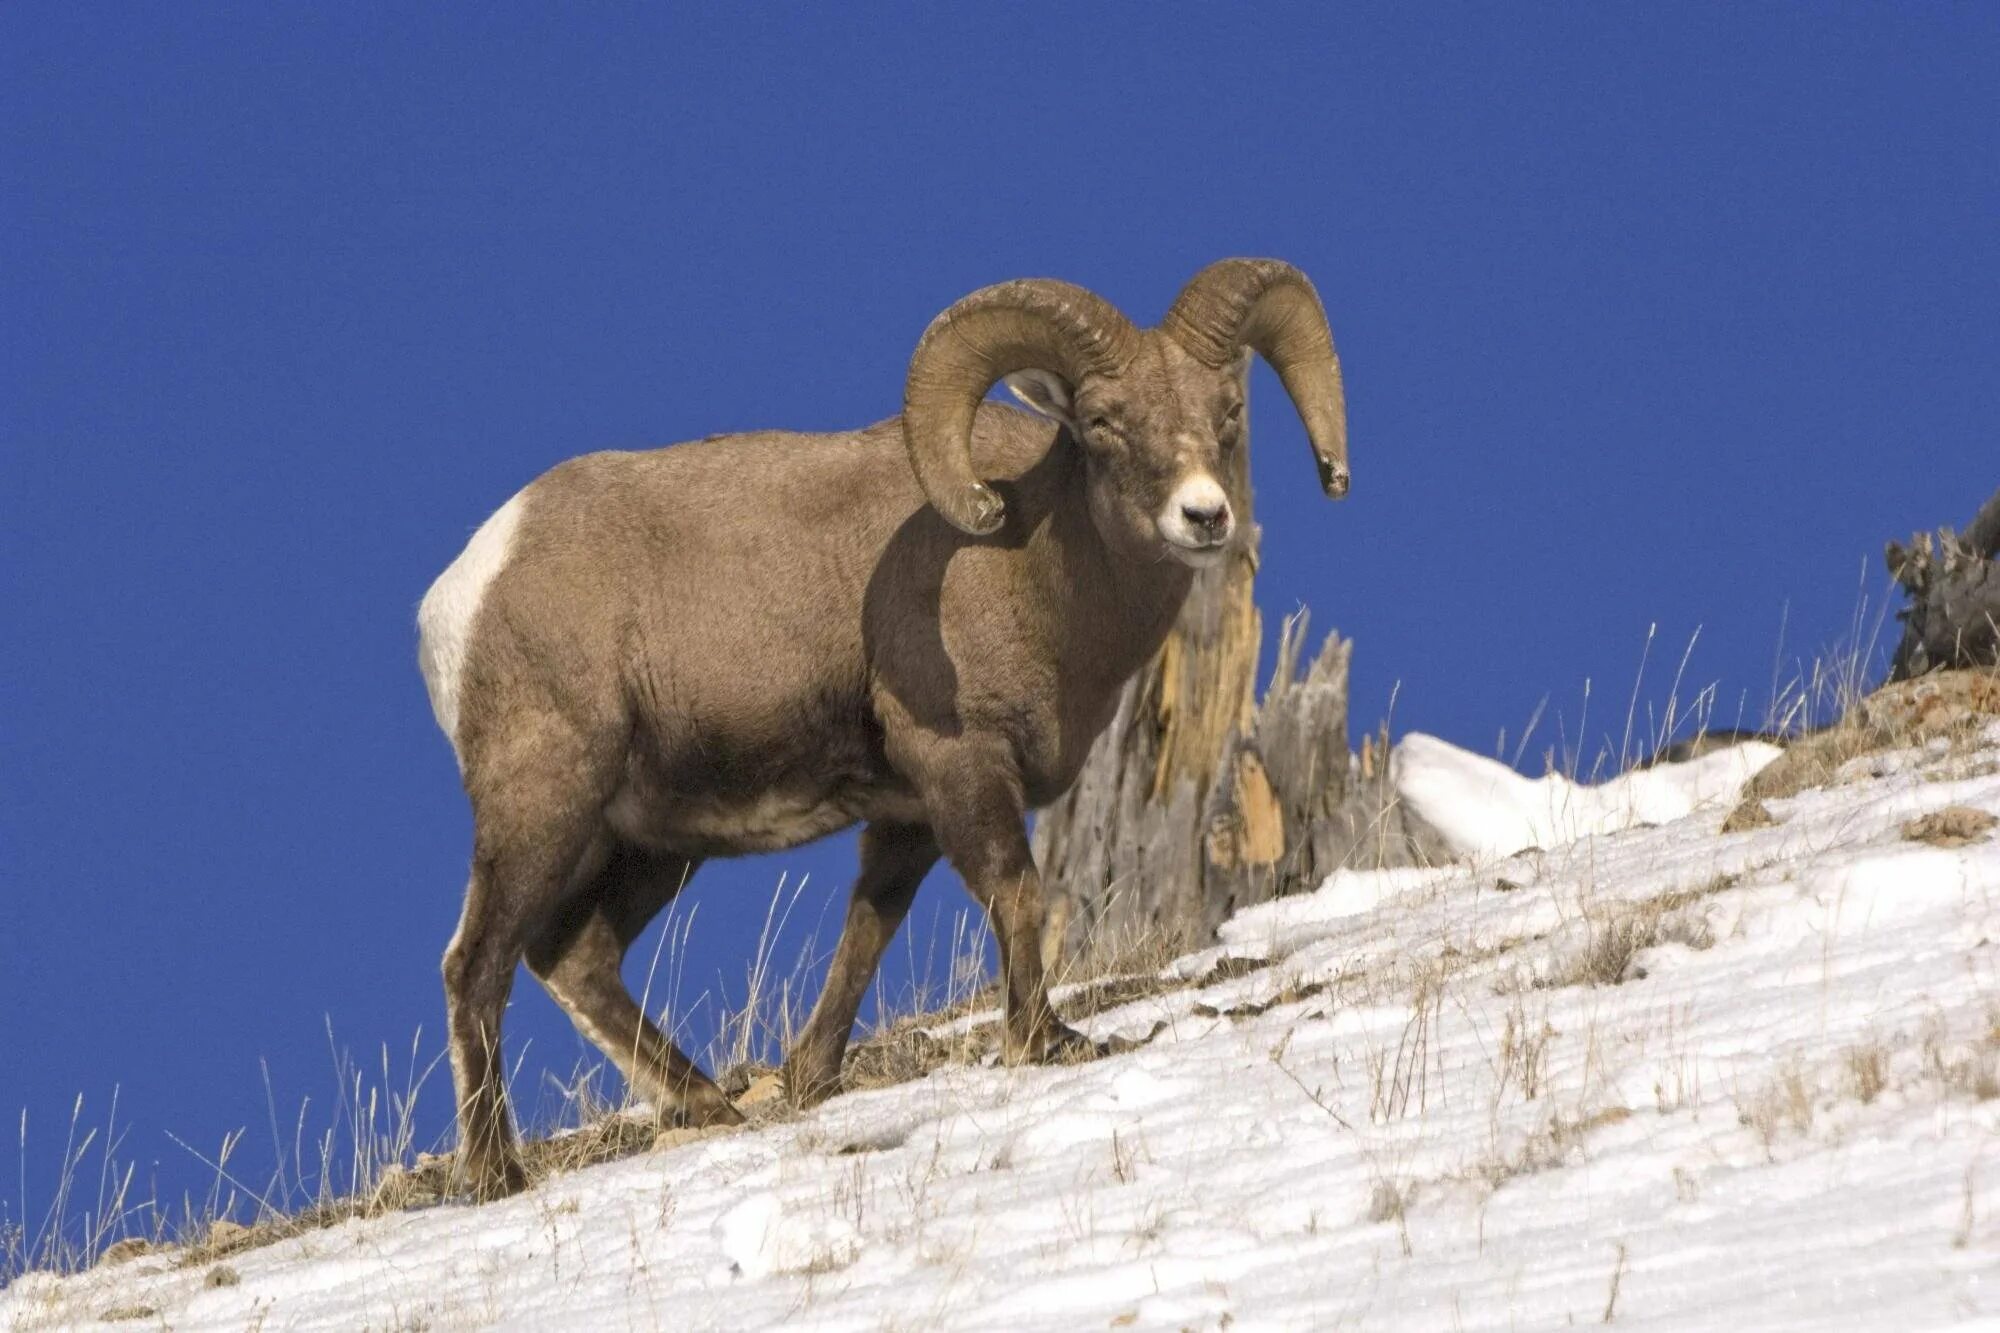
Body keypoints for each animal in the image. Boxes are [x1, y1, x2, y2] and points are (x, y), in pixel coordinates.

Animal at [422, 256, 1360, 1192]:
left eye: (1227, 411)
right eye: (1102, 422)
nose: (1203, 516)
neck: (1040, 573)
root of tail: (463, 592)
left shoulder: (909, 816)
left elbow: (869, 927)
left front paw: (810, 1078)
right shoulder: (961, 766)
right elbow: (1017, 892)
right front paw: (1044, 1041)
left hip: (653, 842)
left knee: (573, 956)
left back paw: (711, 1108)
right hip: (545, 806)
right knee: (478, 963)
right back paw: (496, 1172)